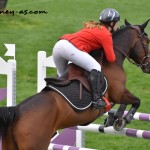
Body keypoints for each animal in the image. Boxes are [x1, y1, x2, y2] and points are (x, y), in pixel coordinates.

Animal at [0, 19, 149, 149]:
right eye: (147, 42)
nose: (148, 67)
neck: (110, 60)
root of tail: (17, 111)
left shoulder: (117, 95)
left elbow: (126, 103)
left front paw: (114, 118)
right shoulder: (117, 93)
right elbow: (135, 101)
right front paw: (123, 119)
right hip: (36, 144)